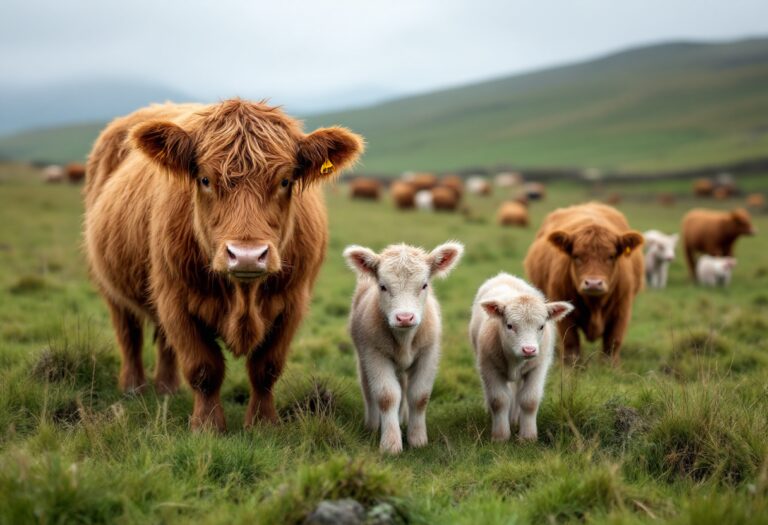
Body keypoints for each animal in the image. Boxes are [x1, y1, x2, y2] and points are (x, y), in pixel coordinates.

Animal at [84, 99, 364, 431]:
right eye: (205, 179)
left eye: (285, 181)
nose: (247, 255)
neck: (244, 298)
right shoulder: (175, 298)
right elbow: (204, 367)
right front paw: (207, 425)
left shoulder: (293, 302)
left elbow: (266, 367)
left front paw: (263, 423)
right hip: (112, 286)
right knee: (129, 334)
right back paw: (133, 387)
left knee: (164, 342)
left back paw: (166, 387)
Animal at [523, 203, 644, 363]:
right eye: (576, 256)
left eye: (611, 256)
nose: (594, 283)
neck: (595, 305)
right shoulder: (565, 313)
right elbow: (571, 342)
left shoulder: (622, 310)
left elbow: (612, 343)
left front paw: (609, 366)